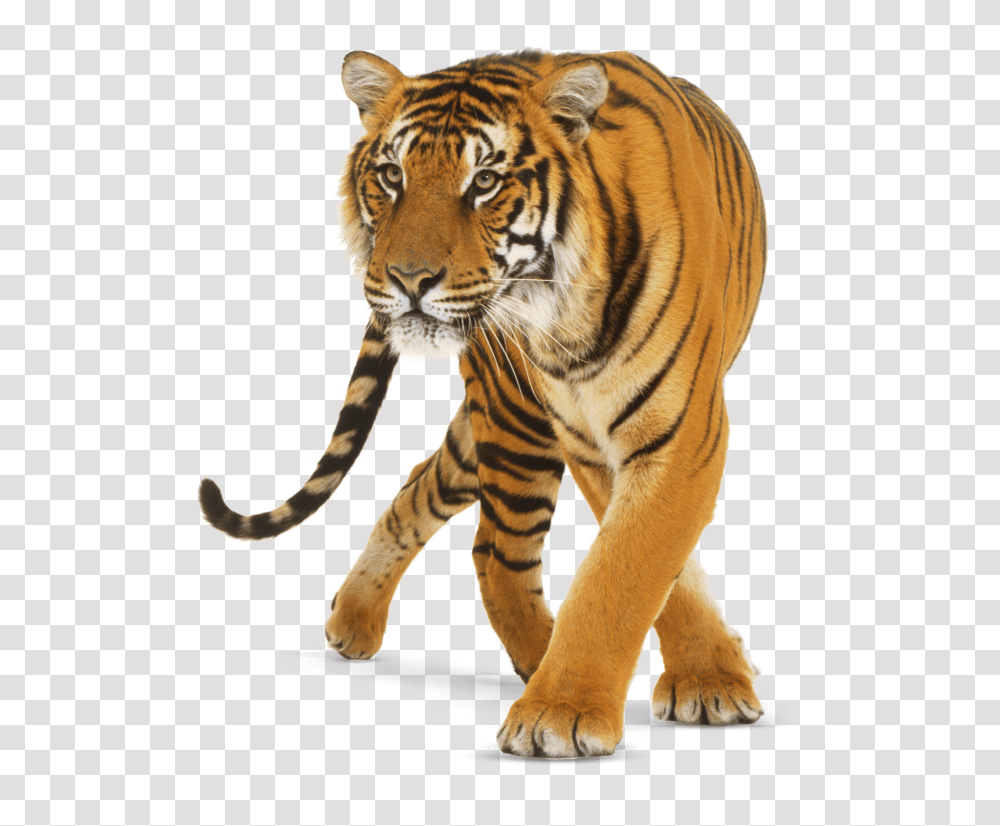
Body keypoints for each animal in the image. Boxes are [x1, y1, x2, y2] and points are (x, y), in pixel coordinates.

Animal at [199, 48, 767, 757]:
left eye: (487, 181)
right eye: (392, 175)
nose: (407, 280)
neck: (564, 313)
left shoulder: (679, 434)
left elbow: (630, 565)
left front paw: (699, 680)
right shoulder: (586, 438)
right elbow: (633, 569)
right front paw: (566, 709)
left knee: (421, 488)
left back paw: (354, 619)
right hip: (515, 418)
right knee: (495, 552)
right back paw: (533, 660)